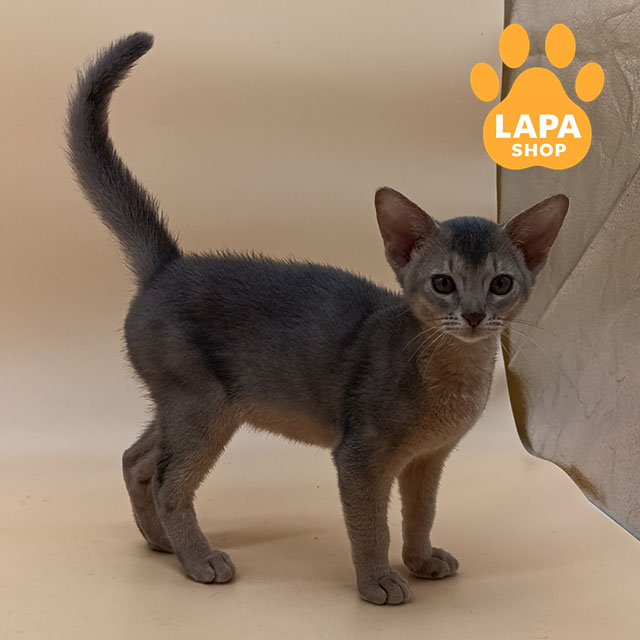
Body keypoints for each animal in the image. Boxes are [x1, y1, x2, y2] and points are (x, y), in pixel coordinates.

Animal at [66, 32, 569, 605]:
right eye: (444, 283)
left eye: (500, 284)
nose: (473, 314)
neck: (451, 375)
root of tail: (169, 266)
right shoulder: (359, 458)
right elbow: (372, 526)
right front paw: (377, 582)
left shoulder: (428, 461)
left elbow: (421, 515)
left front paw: (421, 561)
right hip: (202, 405)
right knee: (169, 480)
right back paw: (198, 560)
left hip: (188, 404)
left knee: (138, 460)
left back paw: (160, 543)